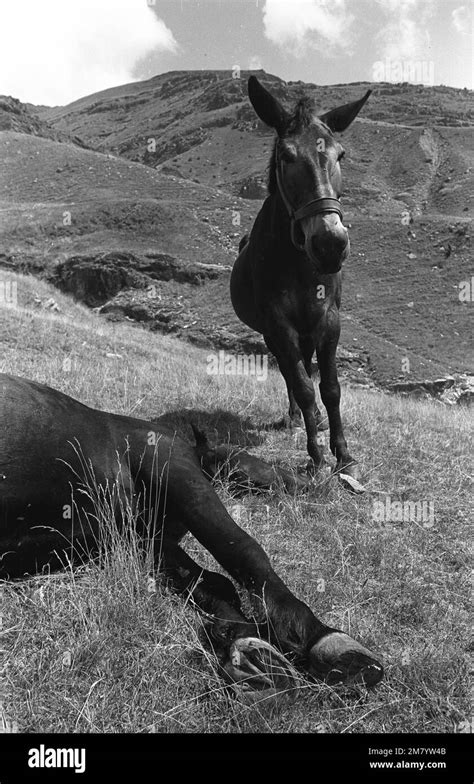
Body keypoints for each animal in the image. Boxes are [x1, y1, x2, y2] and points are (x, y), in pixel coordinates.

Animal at [0, 376, 382, 688]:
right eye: (247, 457)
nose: (313, 484)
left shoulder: (141, 533)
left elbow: (219, 577)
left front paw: (249, 645)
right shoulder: (175, 473)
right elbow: (243, 551)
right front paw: (320, 638)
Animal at [231, 76, 372, 478]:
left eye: (341, 155)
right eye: (286, 157)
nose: (330, 244)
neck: (300, 264)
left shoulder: (329, 321)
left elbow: (331, 388)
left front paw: (344, 454)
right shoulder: (280, 325)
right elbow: (305, 386)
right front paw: (317, 456)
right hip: (274, 335)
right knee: (290, 374)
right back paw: (296, 417)